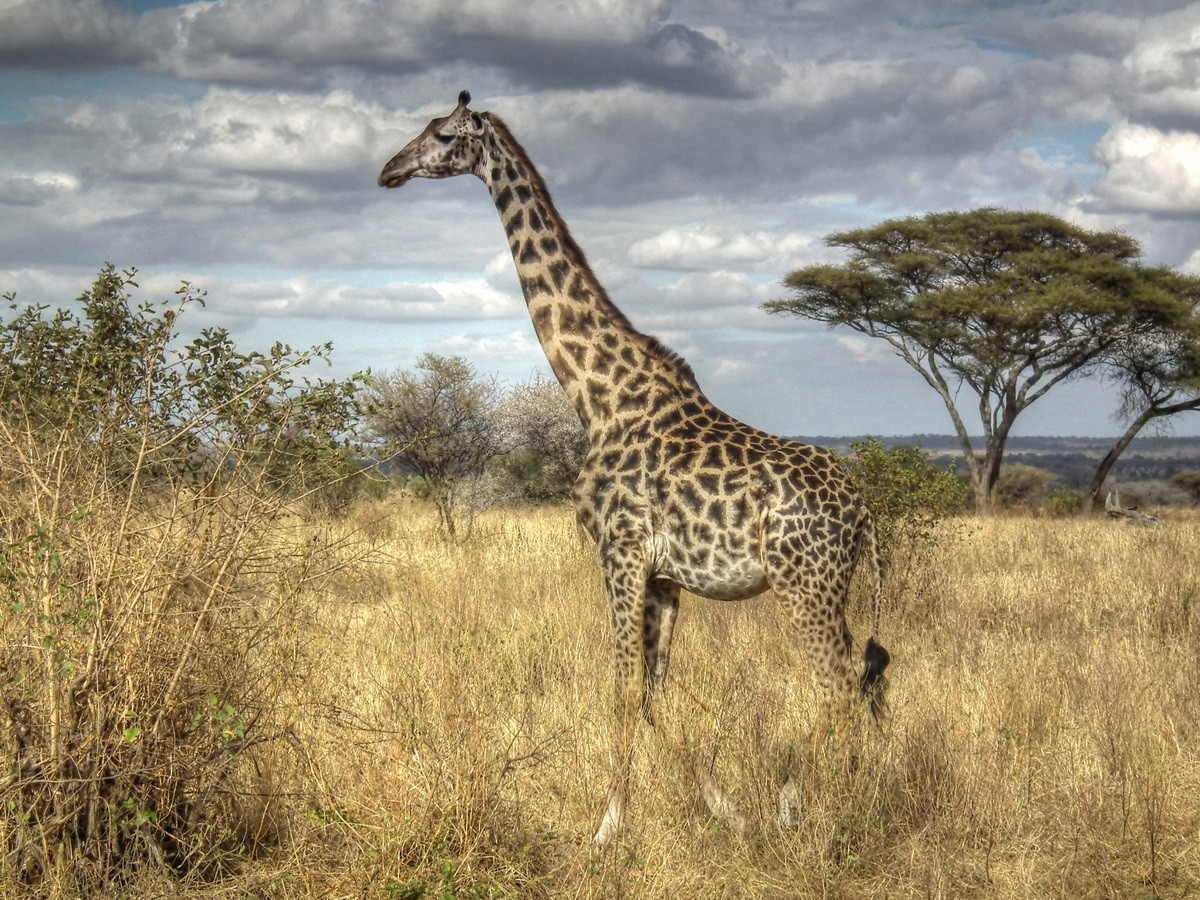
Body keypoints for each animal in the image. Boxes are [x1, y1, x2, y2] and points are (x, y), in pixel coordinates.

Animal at [378, 91, 890, 844]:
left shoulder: (617, 552)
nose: (389, 169)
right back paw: (832, 804)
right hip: (827, 586)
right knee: (862, 674)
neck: (598, 396)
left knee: (839, 680)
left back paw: (813, 812)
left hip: (805, 585)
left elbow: (620, 688)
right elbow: (655, 691)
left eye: (441, 135)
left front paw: (607, 827)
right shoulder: (665, 577)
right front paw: (722, 810)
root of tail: (863, 514)